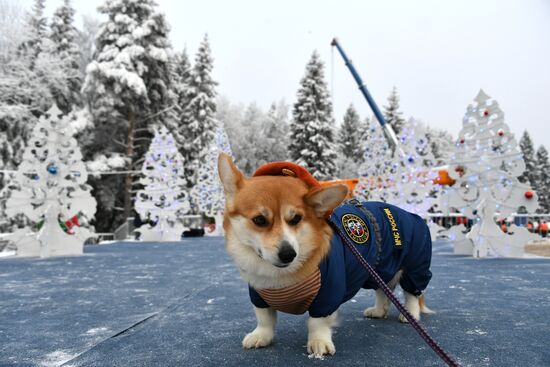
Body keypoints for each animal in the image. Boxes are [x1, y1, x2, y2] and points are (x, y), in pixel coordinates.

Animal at [218, 154, 438, 358]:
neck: (278, 277)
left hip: (414, 267)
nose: (289, 254)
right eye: (259, 220)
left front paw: (319, 342)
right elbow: (264, 318)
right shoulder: (259, 295)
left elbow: (318, 322)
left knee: (411, 293)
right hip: (378, 270)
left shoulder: (329, 291)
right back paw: (378, 311)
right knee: (384, 291)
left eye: (296, 219)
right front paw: (261, 336)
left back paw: (410, 315)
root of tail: (411, 215)